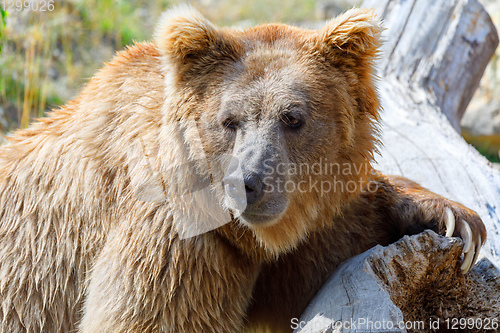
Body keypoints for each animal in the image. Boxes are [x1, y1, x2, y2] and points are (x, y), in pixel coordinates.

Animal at [0, 5, 486, 332]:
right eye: (229, 120)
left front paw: (453, 218)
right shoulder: (176, 242)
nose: (246, 184)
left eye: (293, 117)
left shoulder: (287, 243)